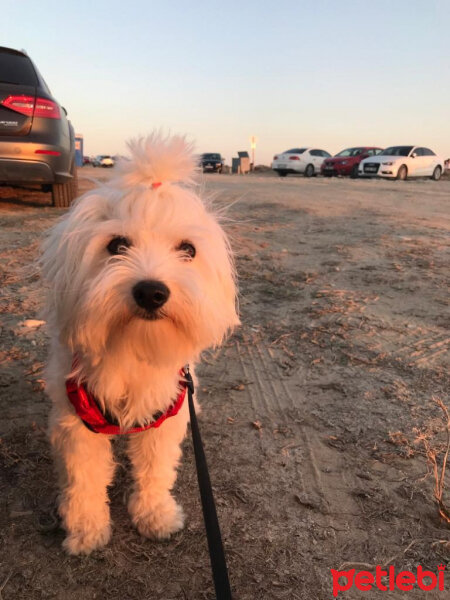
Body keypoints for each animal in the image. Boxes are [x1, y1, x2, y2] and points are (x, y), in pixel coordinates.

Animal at [40, 134, 241, 556]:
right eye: (117, 245)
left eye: (188, 249)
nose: (152, 291)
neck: (132, 348)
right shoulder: (77, 419)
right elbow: (84, 478)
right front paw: (86, 529)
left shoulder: (164, 414)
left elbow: (155, 469)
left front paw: (155, 515)